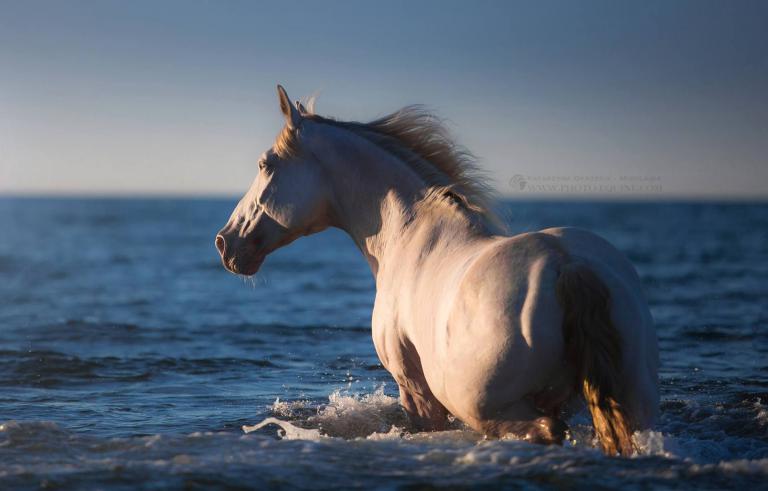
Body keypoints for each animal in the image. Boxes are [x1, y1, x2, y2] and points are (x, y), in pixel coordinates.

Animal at [215, 86, 659, 455]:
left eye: (265, 164)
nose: (225, 241)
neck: (408, 235)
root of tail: (566, 264)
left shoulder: (414, 388)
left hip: (493, 408)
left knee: (546, 431)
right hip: (633, 399)